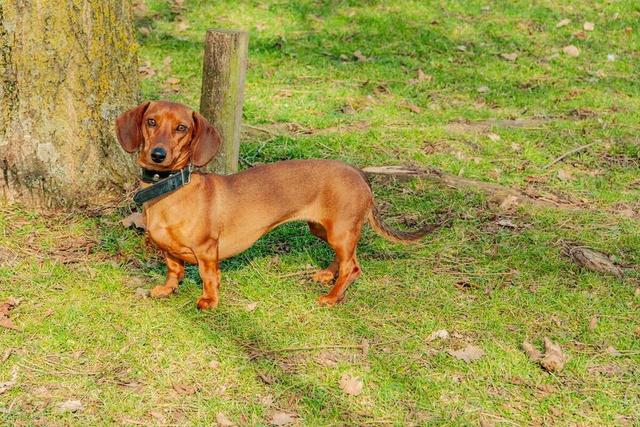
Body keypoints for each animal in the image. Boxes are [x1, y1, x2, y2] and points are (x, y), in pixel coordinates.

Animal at [116, 100, 440, 310]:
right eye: (151, 121)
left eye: (181, 128)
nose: (158, 155)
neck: (170, 190)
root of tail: (358, 172)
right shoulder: (168, 250)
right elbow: (174, 269)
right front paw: (167, 289)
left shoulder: (208, 250)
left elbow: (209, 277)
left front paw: (209, 300)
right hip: (325, 230)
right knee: (349, 259)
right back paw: (328, 275)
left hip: (339, 231)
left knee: (353, 267)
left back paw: (333, 297)